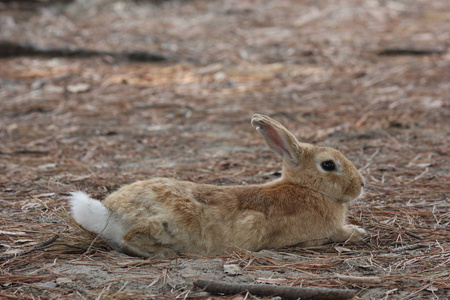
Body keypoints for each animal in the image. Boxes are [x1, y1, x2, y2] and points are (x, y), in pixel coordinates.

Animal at [69, 113, 366, 258]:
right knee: (129, 239)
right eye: (328, 165)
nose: (361, 185)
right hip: (171, 223)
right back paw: (163, 253)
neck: (309, 189)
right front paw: (356, 232)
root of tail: (108, 211)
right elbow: (335, 234)